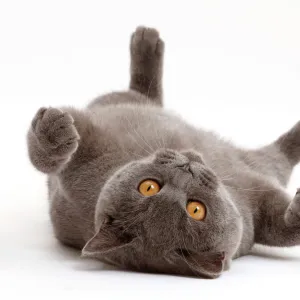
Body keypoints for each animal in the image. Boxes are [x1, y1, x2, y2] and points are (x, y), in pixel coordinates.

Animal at [27, 26, 300, 278]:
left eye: (196, 209)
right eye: (148, 187)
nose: (186, 170)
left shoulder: (253, 204)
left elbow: (280, 226)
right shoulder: (91, 150)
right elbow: (50, 157)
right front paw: (54, 135)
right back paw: (146, 39)